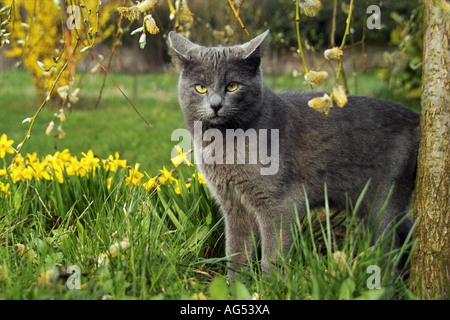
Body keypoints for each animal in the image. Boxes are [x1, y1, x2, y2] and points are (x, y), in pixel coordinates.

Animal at [168, 30, 418, 278]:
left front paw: (269, 284)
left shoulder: (279, 202)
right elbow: (236, 251)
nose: (216, 105)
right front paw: (234, 284)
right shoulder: (232, 204)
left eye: (232, 86)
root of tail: (416, 117)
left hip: (383, 198)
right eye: (200, 87)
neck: (223, 143)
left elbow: (273, 253)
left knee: (390, 244)